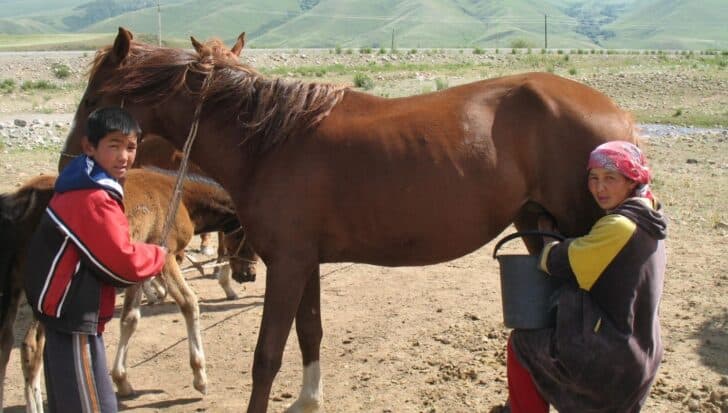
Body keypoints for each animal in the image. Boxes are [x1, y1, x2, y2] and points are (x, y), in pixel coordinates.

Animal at [0, 168, 257, 412]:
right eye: (246, 237)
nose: (250, 275)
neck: (181, 198)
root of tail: (27, 197)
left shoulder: (137, 265)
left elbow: (130, 319)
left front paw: (122, 380)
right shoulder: (165, 256)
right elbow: (189, 303)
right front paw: (200, 377)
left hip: (13, 285)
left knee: (6, 341)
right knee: (30, 346)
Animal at [62, 27, 638, 412]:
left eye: (93, 99)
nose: (72, 162)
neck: (269, 142)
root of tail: (617, 113)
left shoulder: (287, 265)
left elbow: (267, 355)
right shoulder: (305, 263)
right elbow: (310, 333)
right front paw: (309, 401)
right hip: (546, 232)